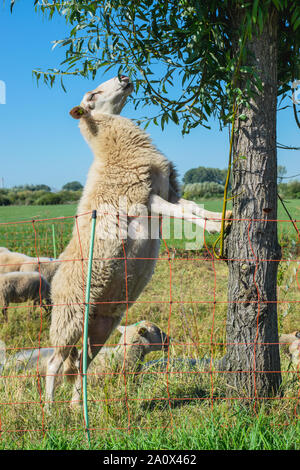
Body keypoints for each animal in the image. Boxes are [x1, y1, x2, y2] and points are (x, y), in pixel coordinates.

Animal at [45, 75, 230, 410]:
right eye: (92, 95)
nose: (123, 76)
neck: (115, 151)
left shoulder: (168, 191)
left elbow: (193, 208)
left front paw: (222, 218)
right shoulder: (145, 198)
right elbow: (183, 214)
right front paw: (215, 226)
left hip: (101, 323)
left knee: (82, 363)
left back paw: (77, 406)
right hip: (69, 318)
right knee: (54, 363)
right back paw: (50, 410)